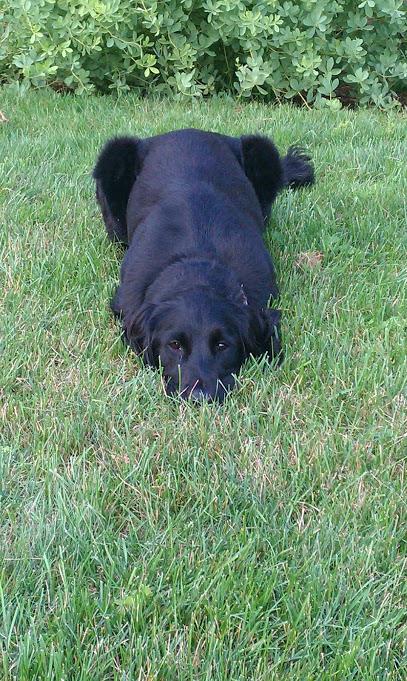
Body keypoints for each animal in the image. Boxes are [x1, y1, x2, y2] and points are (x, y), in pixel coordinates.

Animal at [93, 128, 314, 402]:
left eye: (222, 345)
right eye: (174, 345)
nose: (199, 397)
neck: (198, 261)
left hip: (261, 147)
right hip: (114, 154)